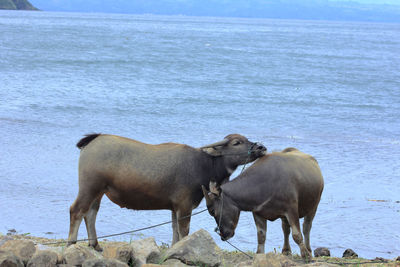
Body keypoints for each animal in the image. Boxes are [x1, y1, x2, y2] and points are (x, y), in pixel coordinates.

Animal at [66, 133, 266, 251]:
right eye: (237, 142)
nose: (261, 147)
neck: (204, 164)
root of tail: (94, 140)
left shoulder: (174, 208)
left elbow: (174, 231)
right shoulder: (184, 206)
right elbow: (184, 231)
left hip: (98, 192)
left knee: (90, 213)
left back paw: (95, 245)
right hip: (89, 187)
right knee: (77, 211)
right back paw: (71, 243)